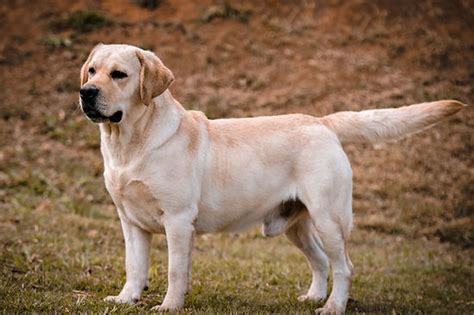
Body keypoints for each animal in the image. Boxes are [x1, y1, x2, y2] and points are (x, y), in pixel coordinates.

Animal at [79, 43, 464, 314]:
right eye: (92, 71)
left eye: (119, 74)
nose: (86, 92)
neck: (130, 143)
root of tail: (323, 122)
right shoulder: (131, 222)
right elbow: (134, 266)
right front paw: (126, 298)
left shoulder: (177, 220)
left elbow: (176, 271)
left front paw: (170, 306)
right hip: (296, 225)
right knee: (320, 261)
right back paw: (313, 297)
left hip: (329, 218)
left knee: (344, 267)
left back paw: (332, 306)